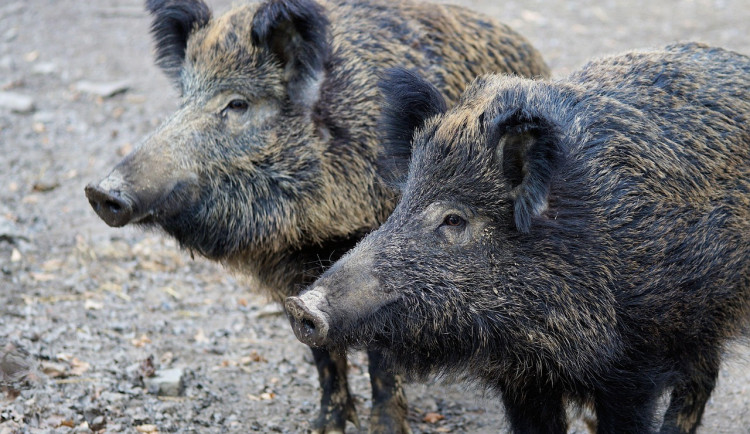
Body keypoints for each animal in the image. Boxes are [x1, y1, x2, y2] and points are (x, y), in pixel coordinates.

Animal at [84, 0, 550, 432]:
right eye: (184, 98)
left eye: (238, 104)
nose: (100, 191)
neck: (312, 231)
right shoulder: (295, 278)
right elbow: (322, 354)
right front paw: (325, 425)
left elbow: (379, 358)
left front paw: (384, 427)